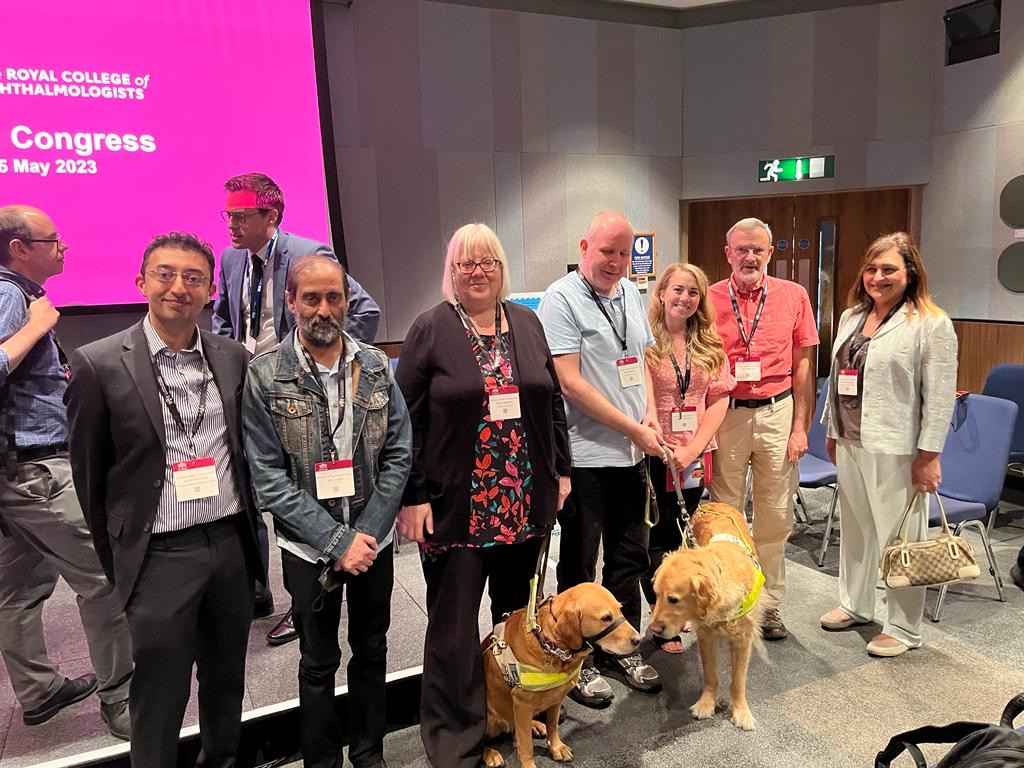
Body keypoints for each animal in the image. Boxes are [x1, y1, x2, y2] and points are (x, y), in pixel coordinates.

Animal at [481, 581, 638, 768]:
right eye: (606, 618)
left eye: (620, 610)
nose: (638, 639)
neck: (550, 644)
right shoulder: (521, 703)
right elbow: (526, 745)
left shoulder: (555, 699)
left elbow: (552, 726)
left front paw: (556, 747)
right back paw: (490, 754)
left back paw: (535, 725)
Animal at [651, 501, 765, 729]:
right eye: (656, 595)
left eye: (673, 599)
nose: (654, 629)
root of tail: (713, 502)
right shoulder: (706, 636)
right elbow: (711, 675)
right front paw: (706, 703)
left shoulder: (743, 639)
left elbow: (738, 681)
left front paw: (741, 712)